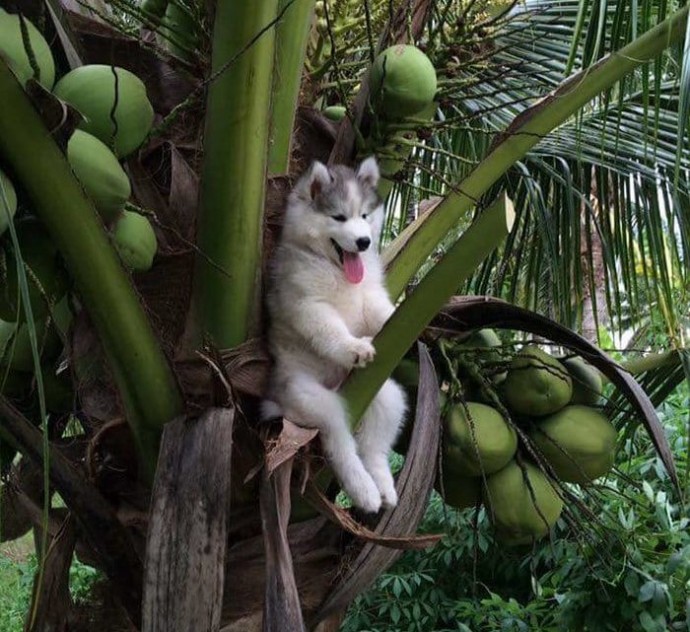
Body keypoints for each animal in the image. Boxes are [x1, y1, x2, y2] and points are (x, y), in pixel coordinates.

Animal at [262, 157, 404, 512]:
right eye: (339, 217)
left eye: (364, 216)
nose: (364, 242)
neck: (336, 270)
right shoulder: (308, 305)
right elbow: (330, 329)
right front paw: (353, 346)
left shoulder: (369, 297)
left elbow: (380, 313)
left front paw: (400, 316)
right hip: (310, 398)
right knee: (339, 441)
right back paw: (364, 490)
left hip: (387, 395)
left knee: (374, 446)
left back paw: (383, 486)